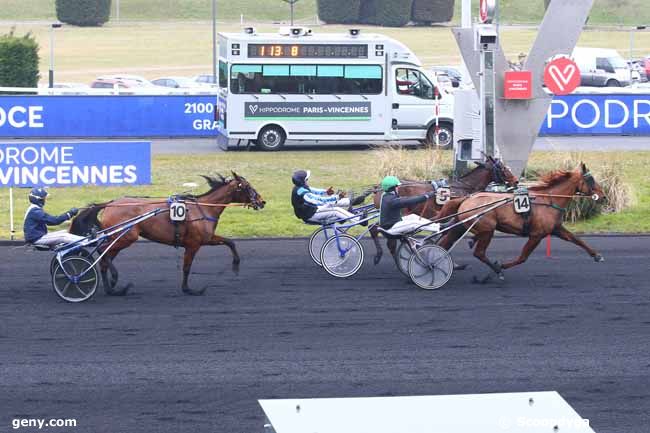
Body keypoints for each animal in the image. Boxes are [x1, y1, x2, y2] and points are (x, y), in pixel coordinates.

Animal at [69, 171, 264, 294]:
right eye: (247, 186)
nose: (262, 201)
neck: (203, 209)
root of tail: (111, 203)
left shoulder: (207, 239)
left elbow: (230, 242)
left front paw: (236, 265)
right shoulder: (194, 244)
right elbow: (187, 267)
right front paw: (189, 289)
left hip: (118, 237)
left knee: (104, 259)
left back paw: (111, 288)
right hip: (126, 237)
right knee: (103, 252)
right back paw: (114, 280)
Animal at [370, 156, 516, 262]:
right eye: (502, 167)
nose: (515, 181)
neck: (462, 188)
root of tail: (378, 188)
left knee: (378, 231)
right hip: (401, 215)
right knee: (382, 234)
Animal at [438, 164, 604, 282]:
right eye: (591, 180)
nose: (603, 196)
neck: (549, 199)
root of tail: (467, 198)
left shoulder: (556, 229)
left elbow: (576, 239)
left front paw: (596, 255)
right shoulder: (536, 235)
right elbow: (522, 257)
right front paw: (500, 266)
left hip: (461, 226)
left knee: (444, 245)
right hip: (487, 230)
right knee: (479, 253)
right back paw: (496, 270)